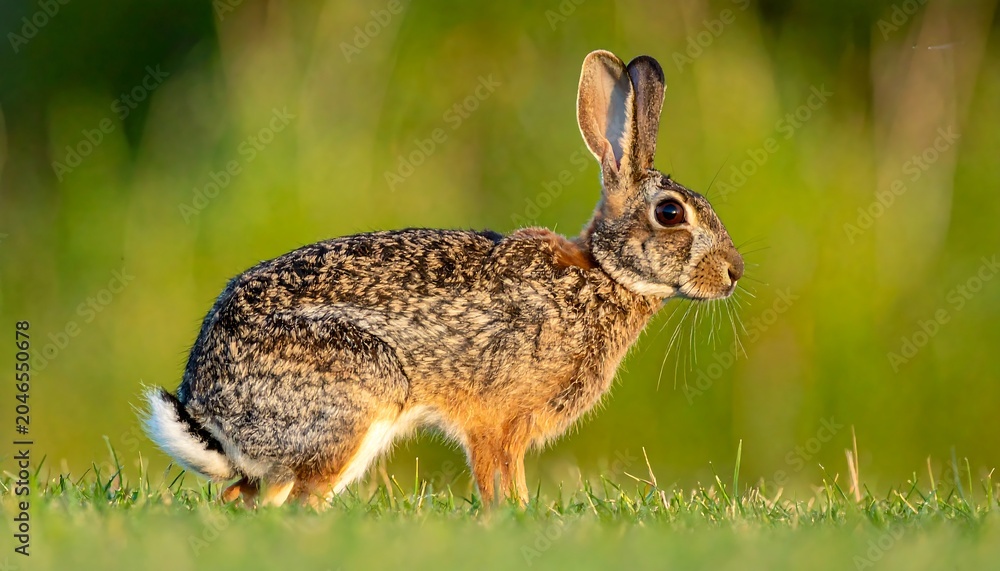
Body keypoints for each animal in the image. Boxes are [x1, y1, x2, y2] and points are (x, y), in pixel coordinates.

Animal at [142, 49, 744, 508]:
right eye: (670, 213)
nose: (734, 273)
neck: (604, 271)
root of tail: (206, 408)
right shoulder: (497, 420)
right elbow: (499, 477)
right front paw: (513, 518)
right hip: (358, 399)